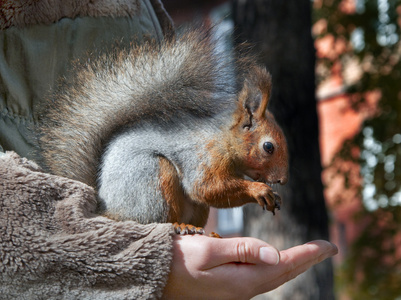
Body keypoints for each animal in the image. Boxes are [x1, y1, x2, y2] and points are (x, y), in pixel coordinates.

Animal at [36, 28, 288, 234]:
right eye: (268, 147)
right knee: (156, 220)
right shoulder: (203, 157)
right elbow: (206, 188)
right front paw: (259, 190)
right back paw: (179, 225)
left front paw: (274, 196)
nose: (283, 180)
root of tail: (109, 211)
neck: (223, 140)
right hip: (152, 181)